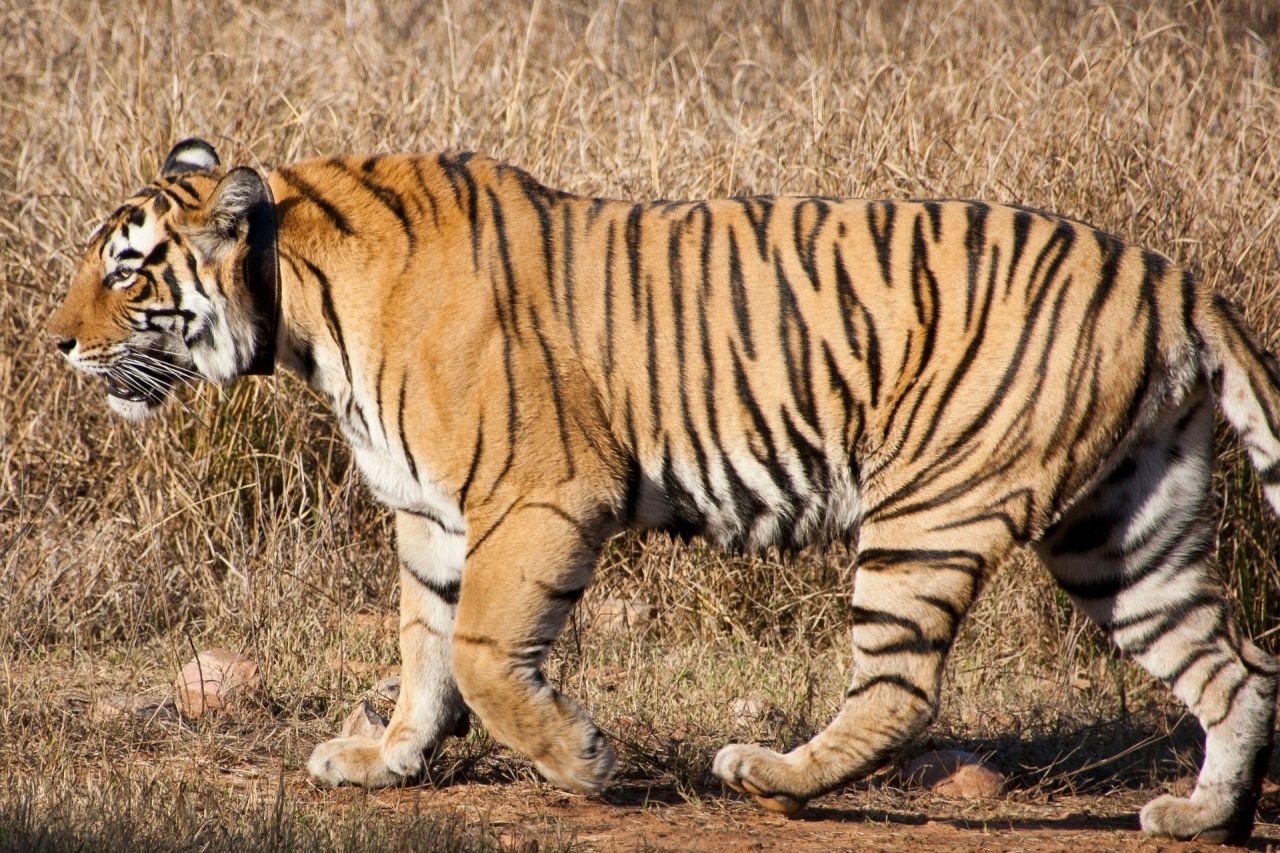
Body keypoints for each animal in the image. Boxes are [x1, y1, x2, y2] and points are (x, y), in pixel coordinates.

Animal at [47, 137, 1280, 835]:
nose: (56, 344)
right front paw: (383, 759)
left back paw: (771, 776)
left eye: (128, 268)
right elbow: (421, 650)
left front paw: (582, 764)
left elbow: (481, 654)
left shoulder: (542, 494)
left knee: (900, 688)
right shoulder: (429, 517)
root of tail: (1173, 278)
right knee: (1235, 668)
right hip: (1121, 527)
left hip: (931, 507)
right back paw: (1201, 815)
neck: (301, 312)